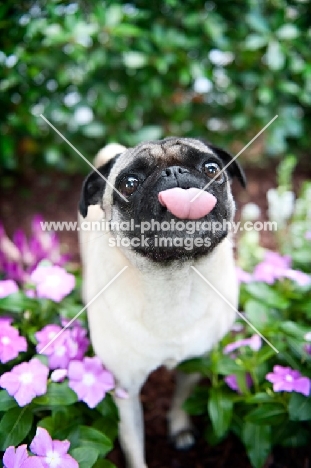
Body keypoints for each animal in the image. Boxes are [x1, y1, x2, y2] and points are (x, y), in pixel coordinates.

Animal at [78, 138, 246, 468]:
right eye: (129, 184)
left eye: (212, 168)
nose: (174, 172)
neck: (174, 280)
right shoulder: (125, 389)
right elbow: (133, 445)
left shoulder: (196, 361)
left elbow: (181, 398)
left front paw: (179, 428)